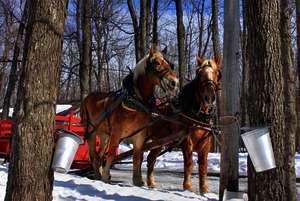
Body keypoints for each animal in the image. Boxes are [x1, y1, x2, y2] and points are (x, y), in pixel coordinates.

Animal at [80, 43, 178, 185]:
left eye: (170, 64)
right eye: (157, 63)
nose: (174, 82)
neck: (136, 101)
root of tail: (87, 97)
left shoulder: (139, 135)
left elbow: (137, 156)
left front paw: (137, 180)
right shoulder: (116, 133)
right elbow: (111, 154)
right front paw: (106, 176)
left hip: (104, 135)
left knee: (99, 154)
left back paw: (98, 172)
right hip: (91, 131)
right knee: (93, 154)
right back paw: (98, 174)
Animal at [146, 54, 221, 193]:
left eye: (217, 73)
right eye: (199, 74)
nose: (209, 97)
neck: (198, 114)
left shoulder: (206, 143)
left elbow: (203, 165)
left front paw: (204, 189)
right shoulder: (187, 141)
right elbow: (189, 163)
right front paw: (188, 186)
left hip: (159, 142)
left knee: (151, 158)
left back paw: (151, 183)